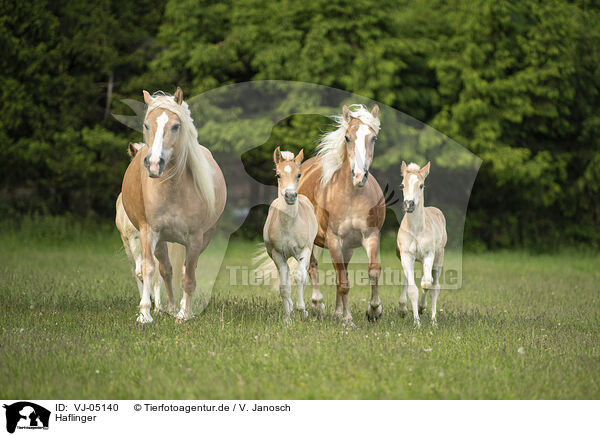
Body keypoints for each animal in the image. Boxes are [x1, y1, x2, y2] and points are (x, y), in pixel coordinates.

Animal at [115, 142, 172, 314]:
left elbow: (158, 275)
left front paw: (158, 307)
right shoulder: (133, 239)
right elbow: (139, 271)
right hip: (127, 245)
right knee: (135, 271)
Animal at [122, 87, 227, 322]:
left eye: (175, 126)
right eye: (146, 125)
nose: (154, 164)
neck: (173, 190)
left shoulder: (195, 239)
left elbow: (189, 277)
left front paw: (184, 314)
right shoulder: (148, 232)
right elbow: (149, 269)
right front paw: (144, 314)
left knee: (186, 271)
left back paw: (180, 309)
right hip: (161, 241)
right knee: (166, 271)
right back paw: (168, 308)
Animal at [262, 146, 318, 324]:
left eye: (299, 174)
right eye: (278, 175)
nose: (291, 196)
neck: (289, 225)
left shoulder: (304, 250)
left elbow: (300, 277)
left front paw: (302, 310)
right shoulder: (277, 254)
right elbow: (284, 287)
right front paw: (288, 318)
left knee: (304, 275)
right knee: (286, 273)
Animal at [298, 104, 384, 324]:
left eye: (373, 138)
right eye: (347, 137)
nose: (360, 176)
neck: (351, 196)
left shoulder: (370, 236)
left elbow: (373, 270)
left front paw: (374, 310)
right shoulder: (334, 239)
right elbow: (343, 282)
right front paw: (347, 320)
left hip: (347, 248)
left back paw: (336, 313)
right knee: (311, 267)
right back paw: (317, 306)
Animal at [396, 162, 448, 326]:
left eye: (421, 185)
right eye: (402, 185)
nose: (409, 204)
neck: (416, 230)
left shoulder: (428, 254)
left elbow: (426, 284)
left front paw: (422, 308)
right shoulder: (406, 255)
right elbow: (413, 289)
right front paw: (416, 322)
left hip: (439, 257)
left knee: (434, 286)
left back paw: (433, 320)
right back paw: (404, 309)